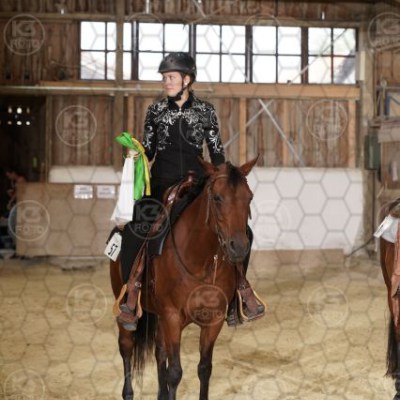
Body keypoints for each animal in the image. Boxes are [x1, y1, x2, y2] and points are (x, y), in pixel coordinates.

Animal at [110, 157, 258, 400]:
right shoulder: (172, 318)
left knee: (159, 351)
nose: (239, 247)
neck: (200, 261)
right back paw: (128, 392)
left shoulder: (213, 320)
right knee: (126, 346)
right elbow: (175, 372)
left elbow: (204, 368)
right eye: (217, 198)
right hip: (126, 308)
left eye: (249, 197)